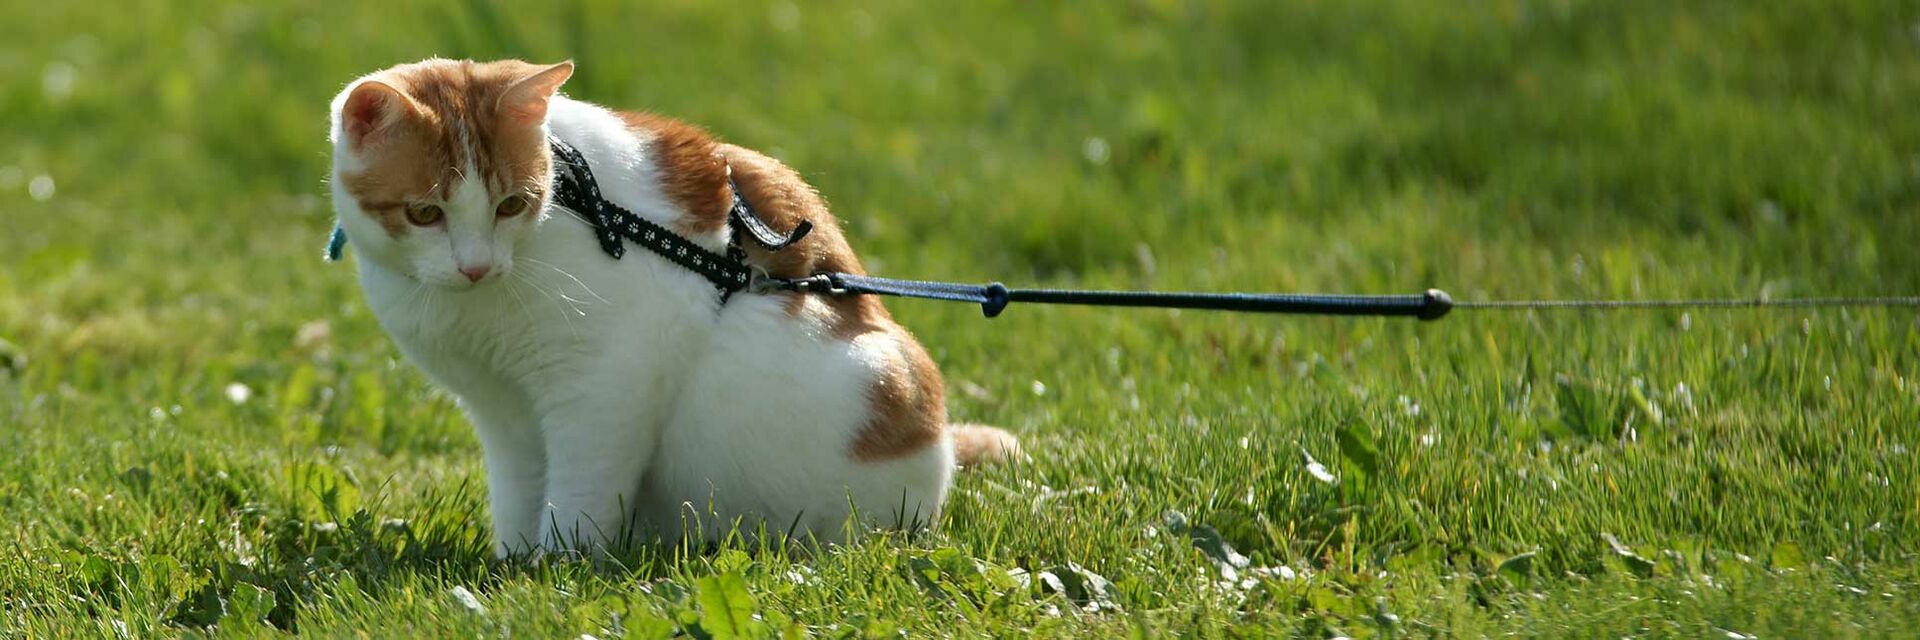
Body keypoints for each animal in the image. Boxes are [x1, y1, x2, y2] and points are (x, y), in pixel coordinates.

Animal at [330, 57, 1021, 553]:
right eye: (424, 213)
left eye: (511, 205)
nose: (476, 266)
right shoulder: (503, 411)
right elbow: (518, 489)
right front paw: (512, 564)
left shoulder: (608, 383)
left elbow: (580, 487)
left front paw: (556, 569)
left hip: (870, 386)